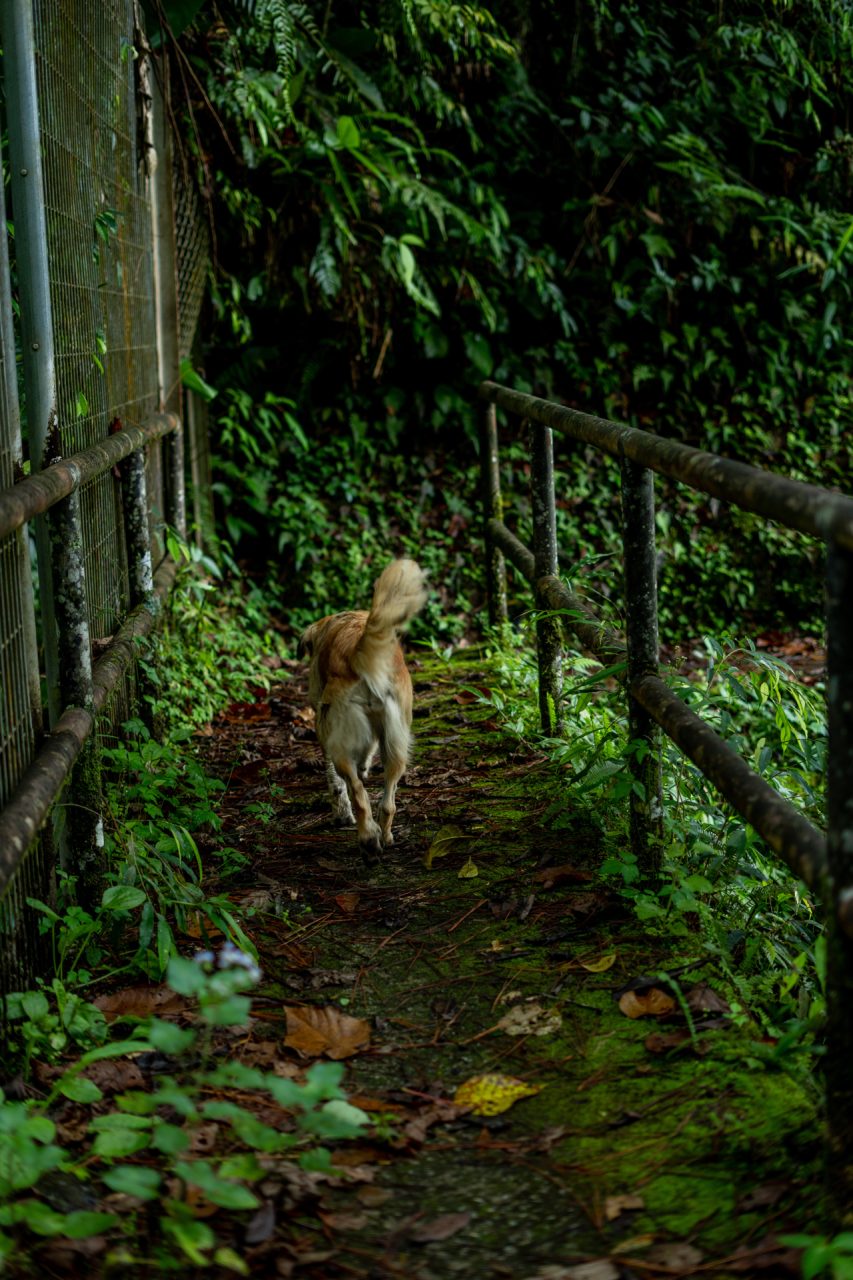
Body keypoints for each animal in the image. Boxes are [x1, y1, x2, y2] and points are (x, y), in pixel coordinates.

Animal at [300, 558, 427, 860]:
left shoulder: (325, 729)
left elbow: (335, 782)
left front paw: (340, 813)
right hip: (397, 741)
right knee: (388, 801)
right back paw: (386, 835)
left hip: (340, 737)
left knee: (358, 793)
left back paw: (368, 837)